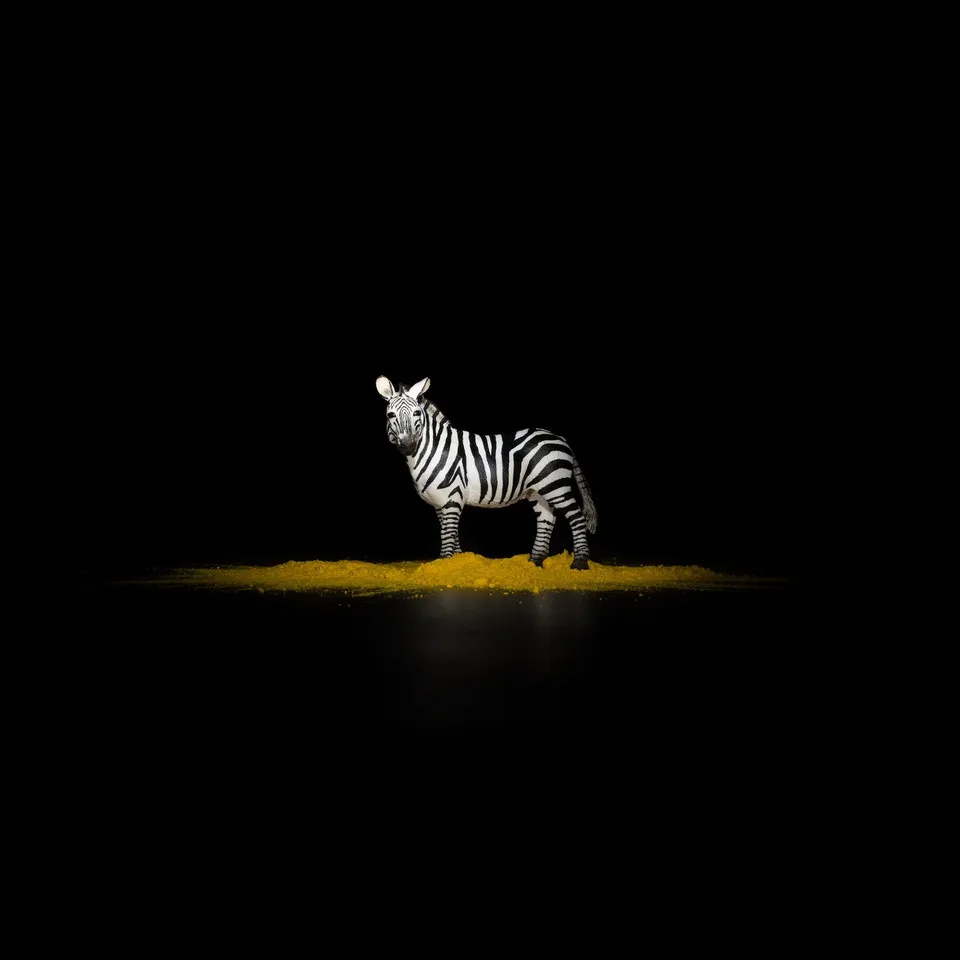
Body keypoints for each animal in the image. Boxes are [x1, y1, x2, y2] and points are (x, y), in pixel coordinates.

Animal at [376, 376, 597, 570]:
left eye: (416, 414)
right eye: (390, 415)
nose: (408, 446)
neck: (434, 450)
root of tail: (559, 437)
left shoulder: (452, 497)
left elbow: (448, 534)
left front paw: (446, 565)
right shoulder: (440, 502)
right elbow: (449, 532)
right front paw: (456, 563)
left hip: (555, 486)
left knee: (576, 517)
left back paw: (579, 563)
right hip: (537, 490)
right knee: (546, 519)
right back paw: (533, 563)